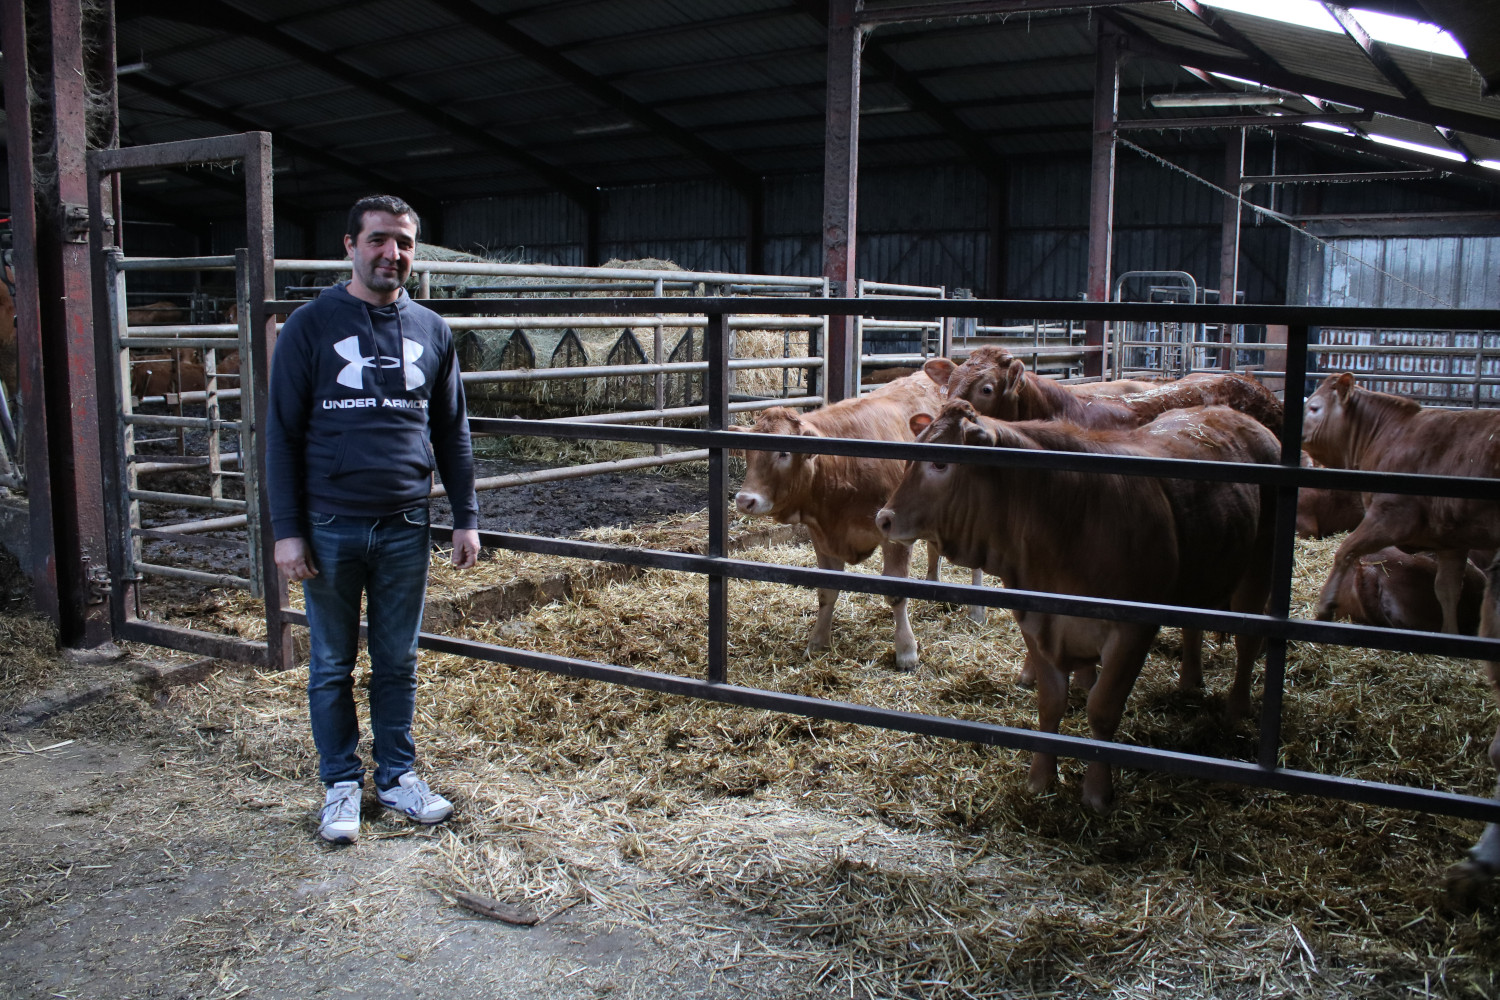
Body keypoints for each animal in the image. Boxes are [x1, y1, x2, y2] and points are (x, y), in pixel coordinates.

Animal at [732, 371, 978, 668]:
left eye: (784, 452)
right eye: (747, 452)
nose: (744, 500)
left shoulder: (894, 535)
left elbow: (896, 593)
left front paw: (906, 650)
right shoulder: (821, 535)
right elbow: (826, 591)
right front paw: (817, 641)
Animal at [876, 398, 1278, 815]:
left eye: (940, 464)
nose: (883, 519)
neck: (1067, 519)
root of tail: (1236, 415)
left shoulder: (1132, 630)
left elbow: (1103, 708)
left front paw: (1098, 792)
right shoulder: (1037, 620)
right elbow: (1051, 704)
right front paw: (1040, 779)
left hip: (1260, 563)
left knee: (1249, 641)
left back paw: (1236, 709)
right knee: (1193, 624)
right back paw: (1189, 681)